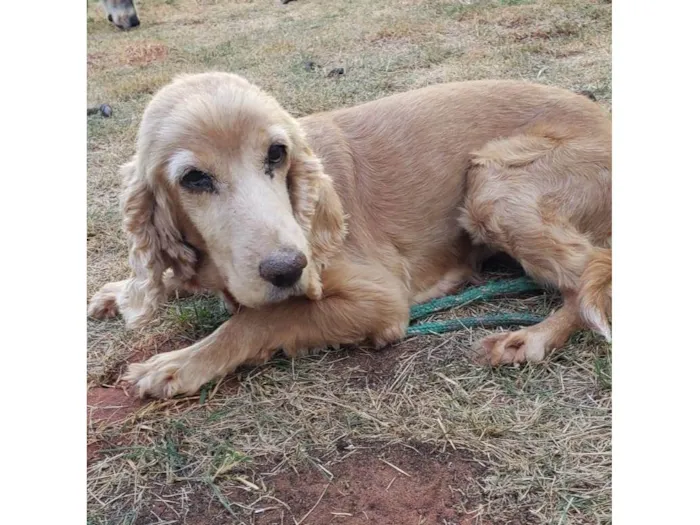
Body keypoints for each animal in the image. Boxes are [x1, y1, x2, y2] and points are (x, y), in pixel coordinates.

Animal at [89, 70, 612, 398]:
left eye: (276, 153)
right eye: (194, 179)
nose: (288, 269)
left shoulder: (380, 299)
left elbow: (261, 319)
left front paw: (177, 363)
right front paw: (122, 291)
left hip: (492, 184)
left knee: (596, 272)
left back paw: (530, 338)